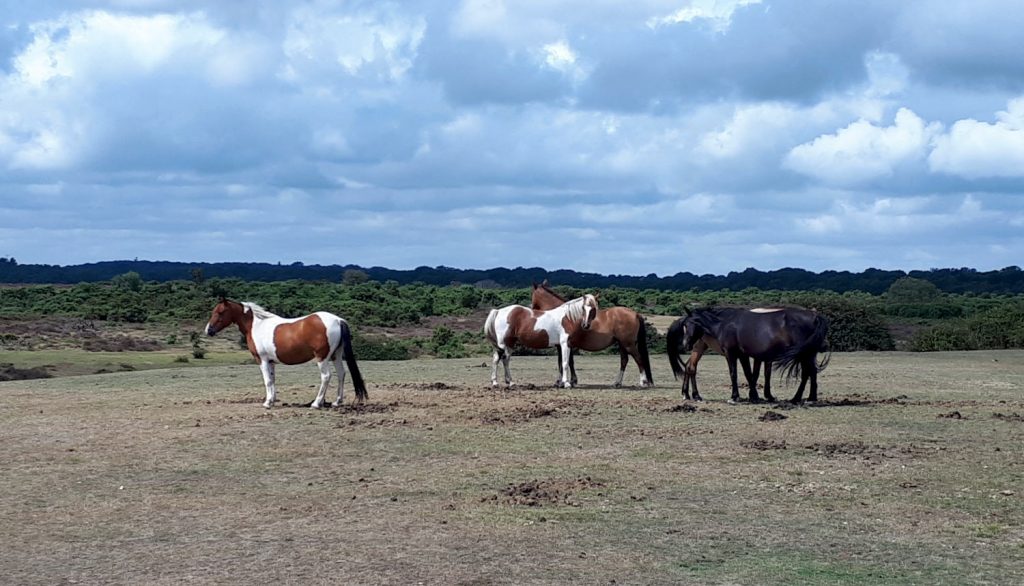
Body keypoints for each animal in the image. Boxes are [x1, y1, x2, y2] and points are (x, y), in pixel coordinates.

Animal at [201, 297, 366, 407]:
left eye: (220, 312)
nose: (208, 330)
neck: (256, 325)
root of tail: (338, 320)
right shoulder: (271, 362)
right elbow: (272, 380)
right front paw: (272, 400)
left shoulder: (262, 360)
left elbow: (267, 380)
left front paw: (267, 403)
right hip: (336, 355)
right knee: (341, 374)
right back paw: (337, 402)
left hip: (322, 358)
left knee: (326, 376)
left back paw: (316, 403)